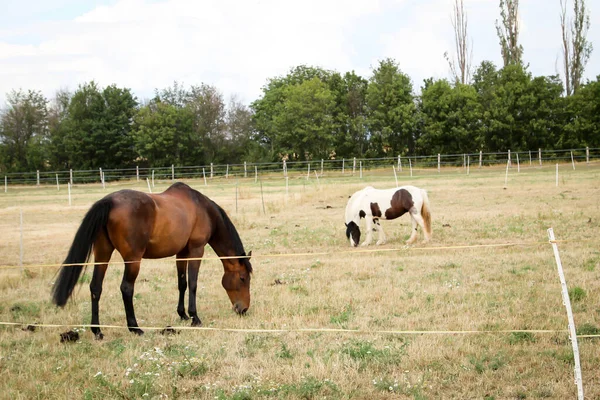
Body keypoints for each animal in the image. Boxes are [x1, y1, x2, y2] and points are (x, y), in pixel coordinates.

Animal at [49, 183, 251, 340]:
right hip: (133, 260)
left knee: (95, 287)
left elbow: (182, 284)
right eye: (243, 278)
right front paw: (195, 318)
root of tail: (110, 201)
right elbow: (193, 284)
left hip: (103, 254)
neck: (203, 209)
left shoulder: (181, 253)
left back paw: (97, 331)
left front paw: (183, 315)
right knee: (126, 288)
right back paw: (135, 328)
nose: (243, 309)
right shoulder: (196, 250)